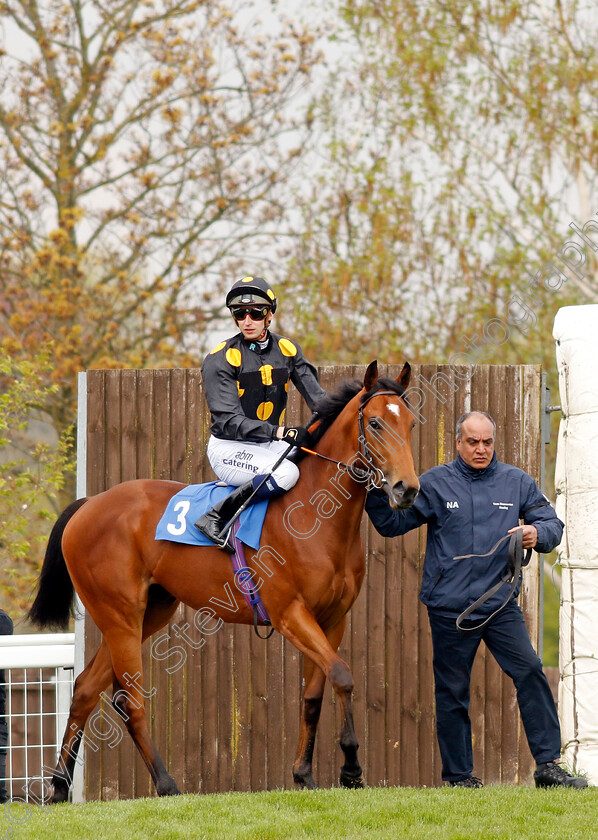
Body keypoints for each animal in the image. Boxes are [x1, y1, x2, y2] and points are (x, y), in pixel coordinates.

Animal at [29, 360, 422, 800]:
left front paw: (304, 774)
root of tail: (89, 504)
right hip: (119, 614)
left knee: (85, 688)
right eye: (374, 423)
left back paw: (59, 787)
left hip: (151, 612)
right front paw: (351, 768)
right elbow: (342, 675)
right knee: (129, 699)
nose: (407, 489)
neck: (316, 518)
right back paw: (166, 784)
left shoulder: (332, 619)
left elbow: (314, 694)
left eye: (409, 423)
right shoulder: (290, 614)